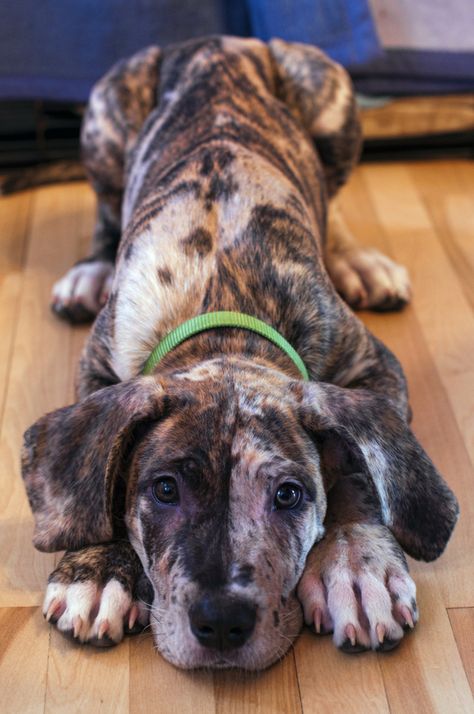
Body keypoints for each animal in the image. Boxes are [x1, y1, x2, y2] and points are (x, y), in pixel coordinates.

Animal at [20, 34, 458, 668]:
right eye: (165, 489)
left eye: (289, 494)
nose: (222, 621)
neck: (223, 305)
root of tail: (218, 40)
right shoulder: (99, 367)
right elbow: (101, 464)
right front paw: (99, 570)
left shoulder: (373, 367)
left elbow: (358, 463)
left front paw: (355, 563)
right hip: (103, 115)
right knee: (104, 207)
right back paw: (90, 270)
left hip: (329, 93)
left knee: (333, 200)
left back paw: (356, 260)